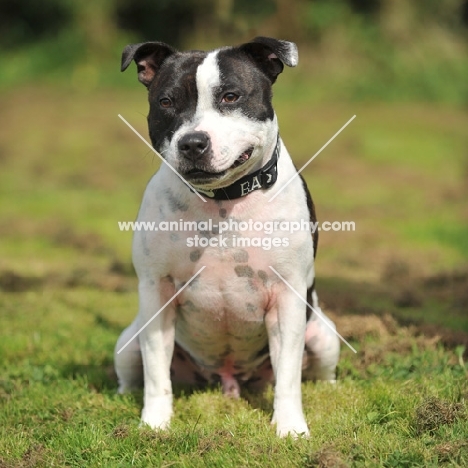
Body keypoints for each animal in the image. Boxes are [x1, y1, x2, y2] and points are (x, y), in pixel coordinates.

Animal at [114, 37, 340, 438]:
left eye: (231, 97)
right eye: (166, 102)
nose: (192, 142)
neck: (223, 202)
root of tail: (228, 379)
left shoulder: (287, 296)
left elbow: (288, 375)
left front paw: (290, 428)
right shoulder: (156, 292)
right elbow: (156, 372)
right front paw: (155, 424)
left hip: (325, 337)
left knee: (319, 372)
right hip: (128, 342)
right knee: (134, 372)